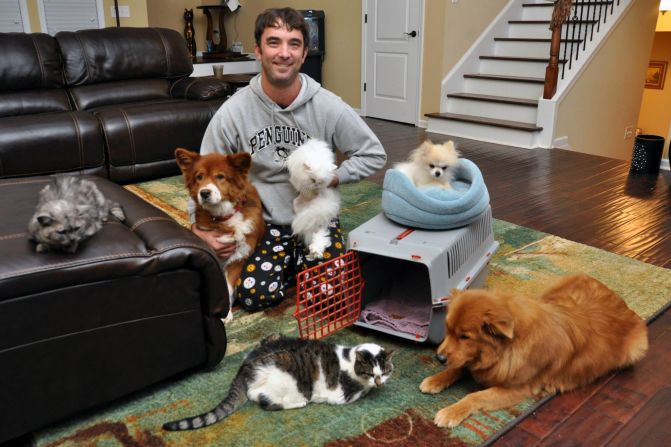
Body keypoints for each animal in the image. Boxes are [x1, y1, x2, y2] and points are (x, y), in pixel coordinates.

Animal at [162, 334, 394, 432]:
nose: (379, 383)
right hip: (286, 383)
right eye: (370, 373)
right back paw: (298, 403)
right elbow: (360, 393)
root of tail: (245, 366)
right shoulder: (343, 395)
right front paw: (368, 390)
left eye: (384, 371)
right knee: (264, 400)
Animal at [176, 150, 266, 322]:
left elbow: (228, 288)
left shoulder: (238, 257)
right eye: (199, 177)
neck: (222, 218)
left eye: (220, 176)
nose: (204, 193)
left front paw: (226, 314)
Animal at [422, 274, 648, 428]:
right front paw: (435, 379)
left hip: (636, 349)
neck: (507, 348)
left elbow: (475, 396)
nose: (438, 357)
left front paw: (451, 412)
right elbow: (459, 367)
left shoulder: (517, 389)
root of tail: (619, 299)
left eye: (464, 337)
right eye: (448, 330)